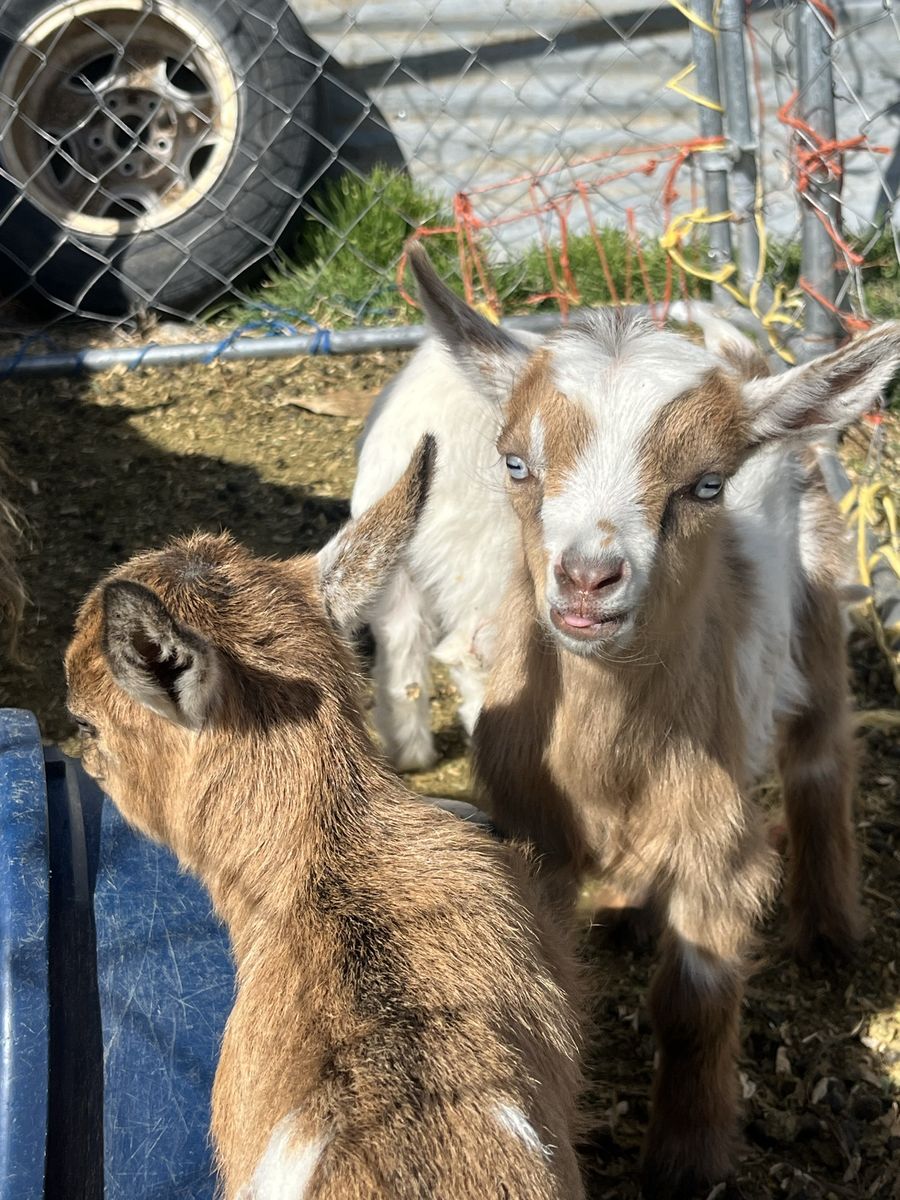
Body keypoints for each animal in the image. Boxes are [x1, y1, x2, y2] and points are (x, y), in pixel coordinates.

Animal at [398, 246, 900, 1197]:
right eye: (515, 463)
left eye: (707, 483)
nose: (588, 578)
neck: (613, 759)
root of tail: (734, 344)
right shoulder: (535, 831)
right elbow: (550, 990)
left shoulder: (720, 843)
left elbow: (693, 1004)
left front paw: (684, 1159)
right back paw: (629, 912)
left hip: (816, 603)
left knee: (821, 756)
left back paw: (829, 933)